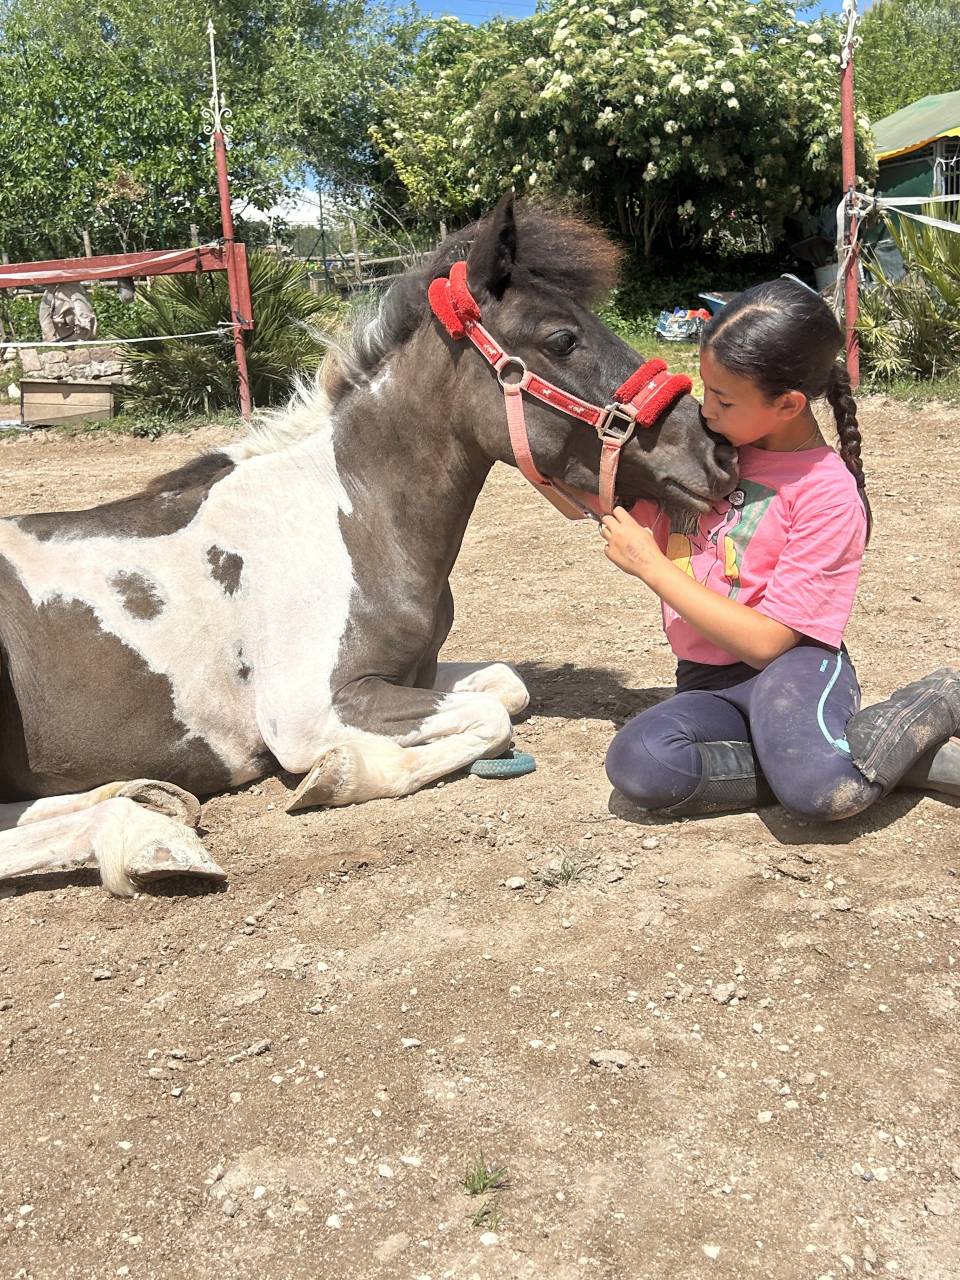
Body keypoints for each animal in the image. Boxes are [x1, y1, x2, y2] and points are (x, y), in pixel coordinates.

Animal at [0, 195, 737, 896]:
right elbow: (487, 716)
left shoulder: (410, 674)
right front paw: (341, 775)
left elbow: (507, 687)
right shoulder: (310, 712)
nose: (717, 452)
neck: (349, 519)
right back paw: (145, 836)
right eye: (562, 338)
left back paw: (144, 802)